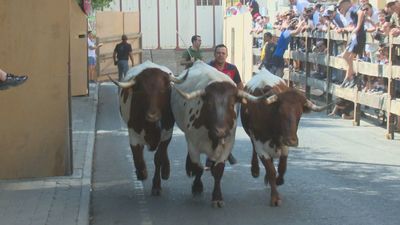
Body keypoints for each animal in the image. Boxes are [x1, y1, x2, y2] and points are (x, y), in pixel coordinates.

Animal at [110, 60, 187, 196]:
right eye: (142, 92)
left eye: (162, 91)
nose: (152, 115)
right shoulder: (133, 133)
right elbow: (137, 155)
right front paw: (142, 173)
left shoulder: (167, 132)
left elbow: (158, 158)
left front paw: (156, 186)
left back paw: (166, 171)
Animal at [171, 60, 268, 207]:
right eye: (209, 104)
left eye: (232, 104)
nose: (220, 131)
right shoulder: (193, 144)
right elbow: (198, 167)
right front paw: (197, 187)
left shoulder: (227, 145)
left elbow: (218, 170)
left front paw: (217, 197)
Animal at [239, 68, 326, 206]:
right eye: (280, 112)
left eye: (299, 114)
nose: (292, 141)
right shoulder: (260, 145)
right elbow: (271, 170)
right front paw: (275, 197)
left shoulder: (284, 144)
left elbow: (282, 167)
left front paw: (279, 180)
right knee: (254, 151)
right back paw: (255, 170)